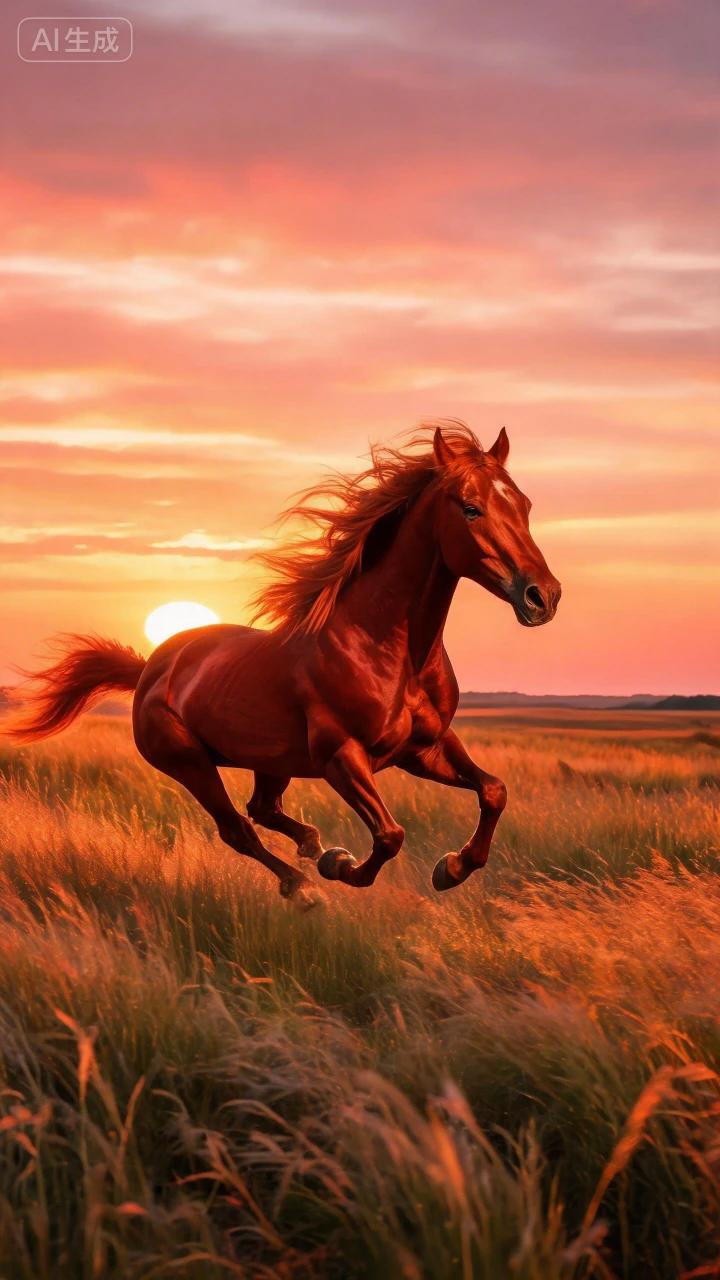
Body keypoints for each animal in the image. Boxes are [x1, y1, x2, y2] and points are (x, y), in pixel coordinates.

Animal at [8, 423, 560, 908]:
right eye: (470, 509)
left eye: (526, 505)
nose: (543, 597)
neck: (391, 652)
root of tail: (150, 669)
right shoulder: (342, 757)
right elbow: (389, 835)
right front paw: (341, 866)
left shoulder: (425, 749)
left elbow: (493, 790)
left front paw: (451, 868)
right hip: (190, 764)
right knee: (237, 828)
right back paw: (305, 885)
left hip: (272, 761)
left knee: (262, 809)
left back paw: (313, 845)